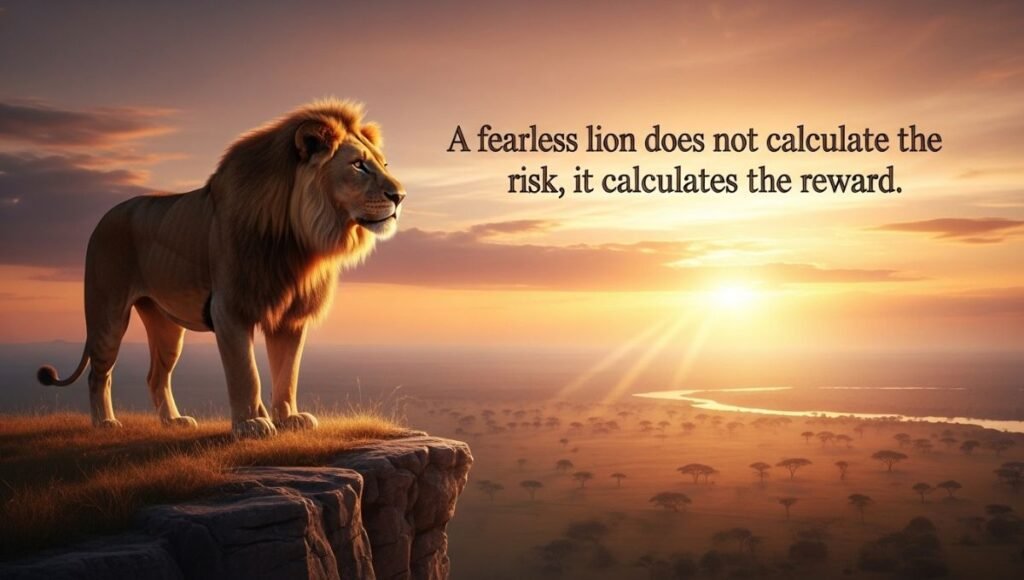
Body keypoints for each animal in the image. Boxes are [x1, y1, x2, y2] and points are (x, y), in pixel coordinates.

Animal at [37, 99, 405, 438]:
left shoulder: (291, 316)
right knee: (99, 373)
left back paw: (173, 421)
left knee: (156, 375)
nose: (400, 196)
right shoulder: (230, 308)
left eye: (384, 164)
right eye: (359, 165)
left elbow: (287, 373)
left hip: (165, 324)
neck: (298, 240)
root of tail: (104, 218)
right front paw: (251, 424)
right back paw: (105, 423)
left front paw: (288, 419)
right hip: (107, 313)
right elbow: (246, 373)